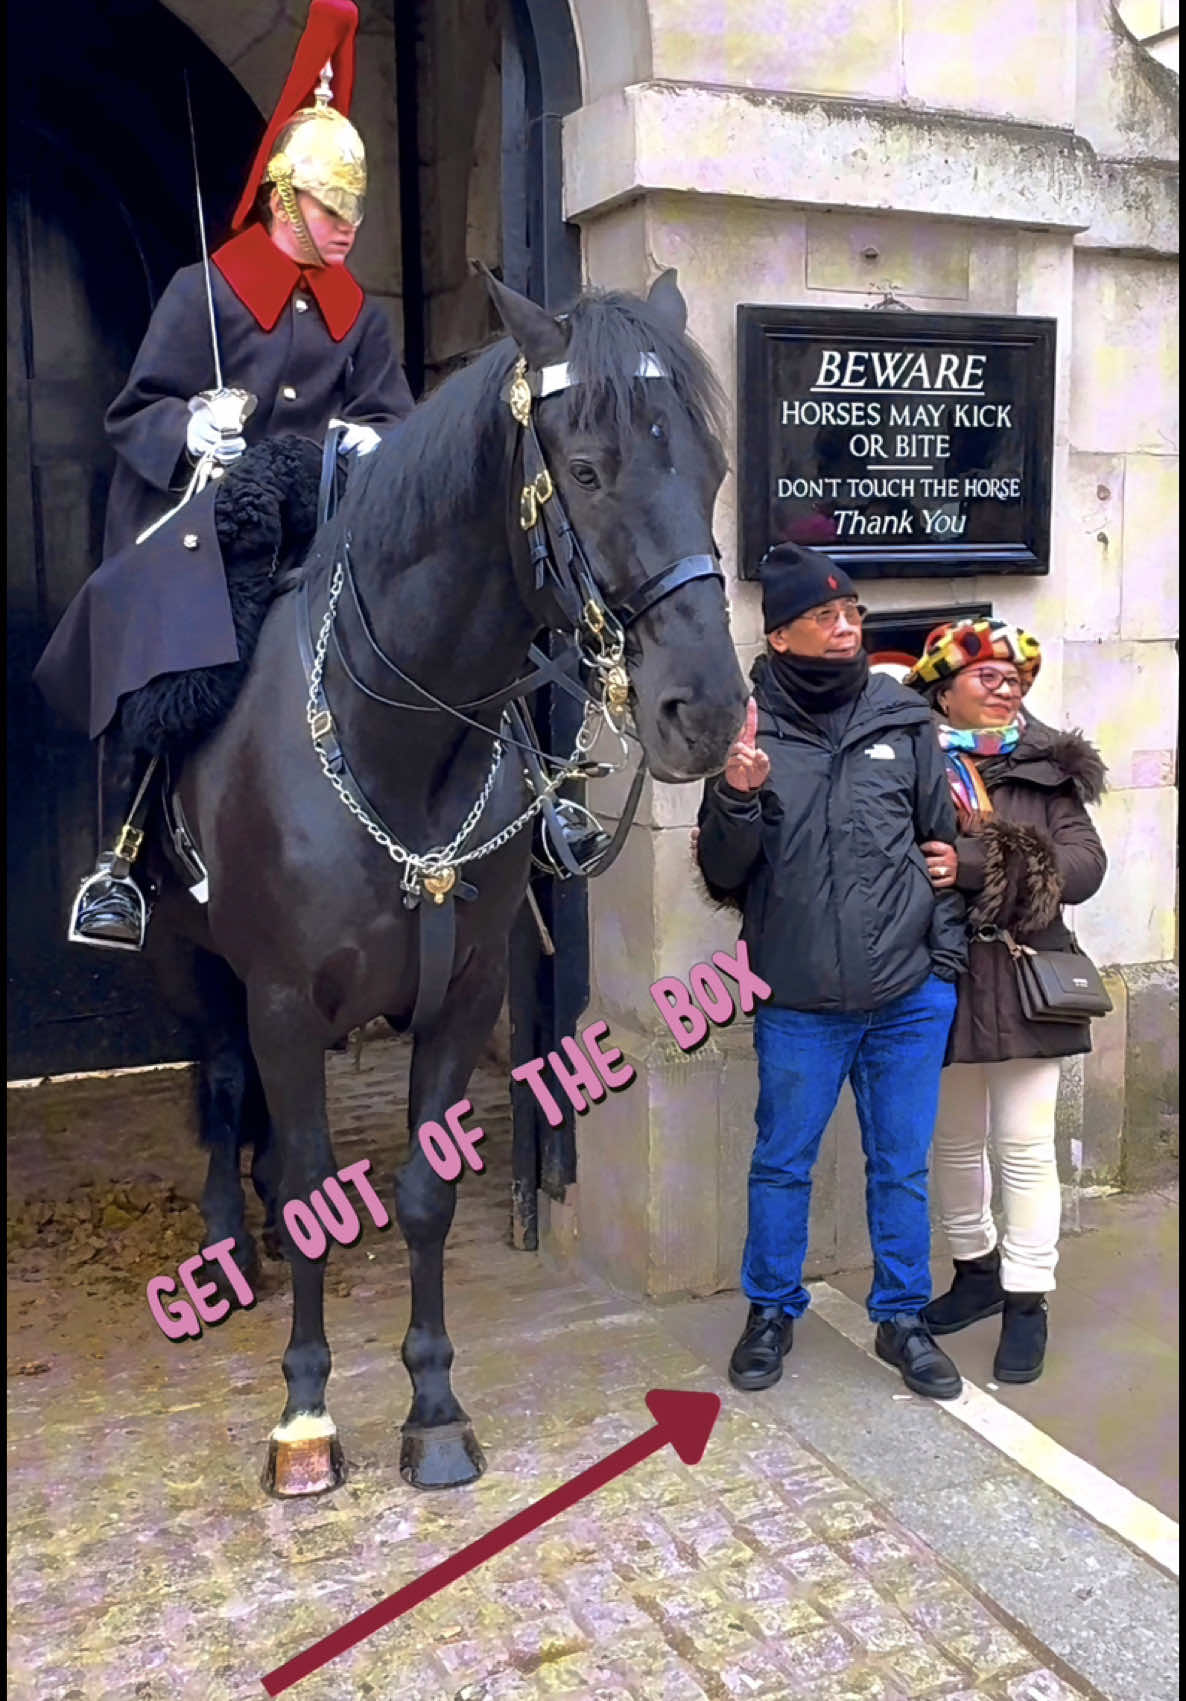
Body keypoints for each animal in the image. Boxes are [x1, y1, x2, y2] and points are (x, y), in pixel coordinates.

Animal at [138, 261, 745, 1490]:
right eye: (589, 469)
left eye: (708, 467)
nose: (704, 710)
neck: (397, 741)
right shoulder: (281, 998)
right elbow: (307, 1182)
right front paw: (306, 1416)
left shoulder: (464, 995)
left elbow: (425, 1191)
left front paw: (432, 1405)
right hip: (192, 961)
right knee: (221, 1088)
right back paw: (227, 1244)